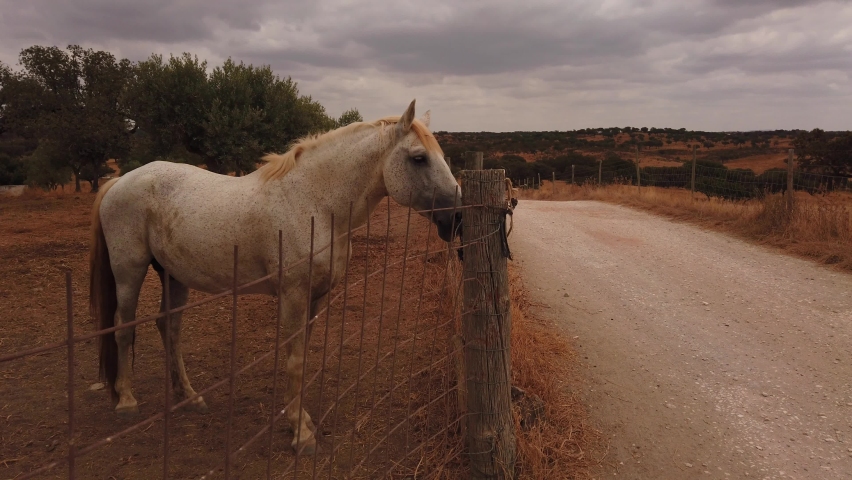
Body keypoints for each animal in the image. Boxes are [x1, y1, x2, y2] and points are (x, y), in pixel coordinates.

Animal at [89, 100, 461, 455]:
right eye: (419, 158)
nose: (457, 218)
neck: (316, 203)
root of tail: (118, 181)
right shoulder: (294, 295)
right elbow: (294, 361)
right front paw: (301, 434)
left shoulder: (316, 297)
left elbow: (303, 357)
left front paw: (302, 419)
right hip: (129, 271)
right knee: (123, 327)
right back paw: (127, 401)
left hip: (174, 275)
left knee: (169, 327)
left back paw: (189, 397)